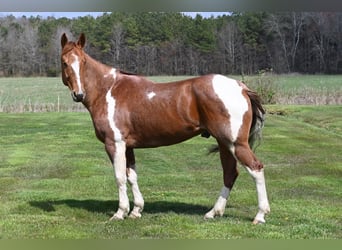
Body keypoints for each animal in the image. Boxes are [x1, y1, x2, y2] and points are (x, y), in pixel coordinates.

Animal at [60, 33, 270, 225]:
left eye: (83, 62)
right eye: (64, 62)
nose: (79, 94)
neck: (108, 89)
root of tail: (241, 87)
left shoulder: (115, 144)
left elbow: (120, 177)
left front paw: (120, 213)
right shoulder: (128, 146)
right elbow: (132, 176)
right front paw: (136, 210)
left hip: (235, 143)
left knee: (256, 168)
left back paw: (260, 215)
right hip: (225, 143)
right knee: (230, 173)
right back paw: (213, 212)